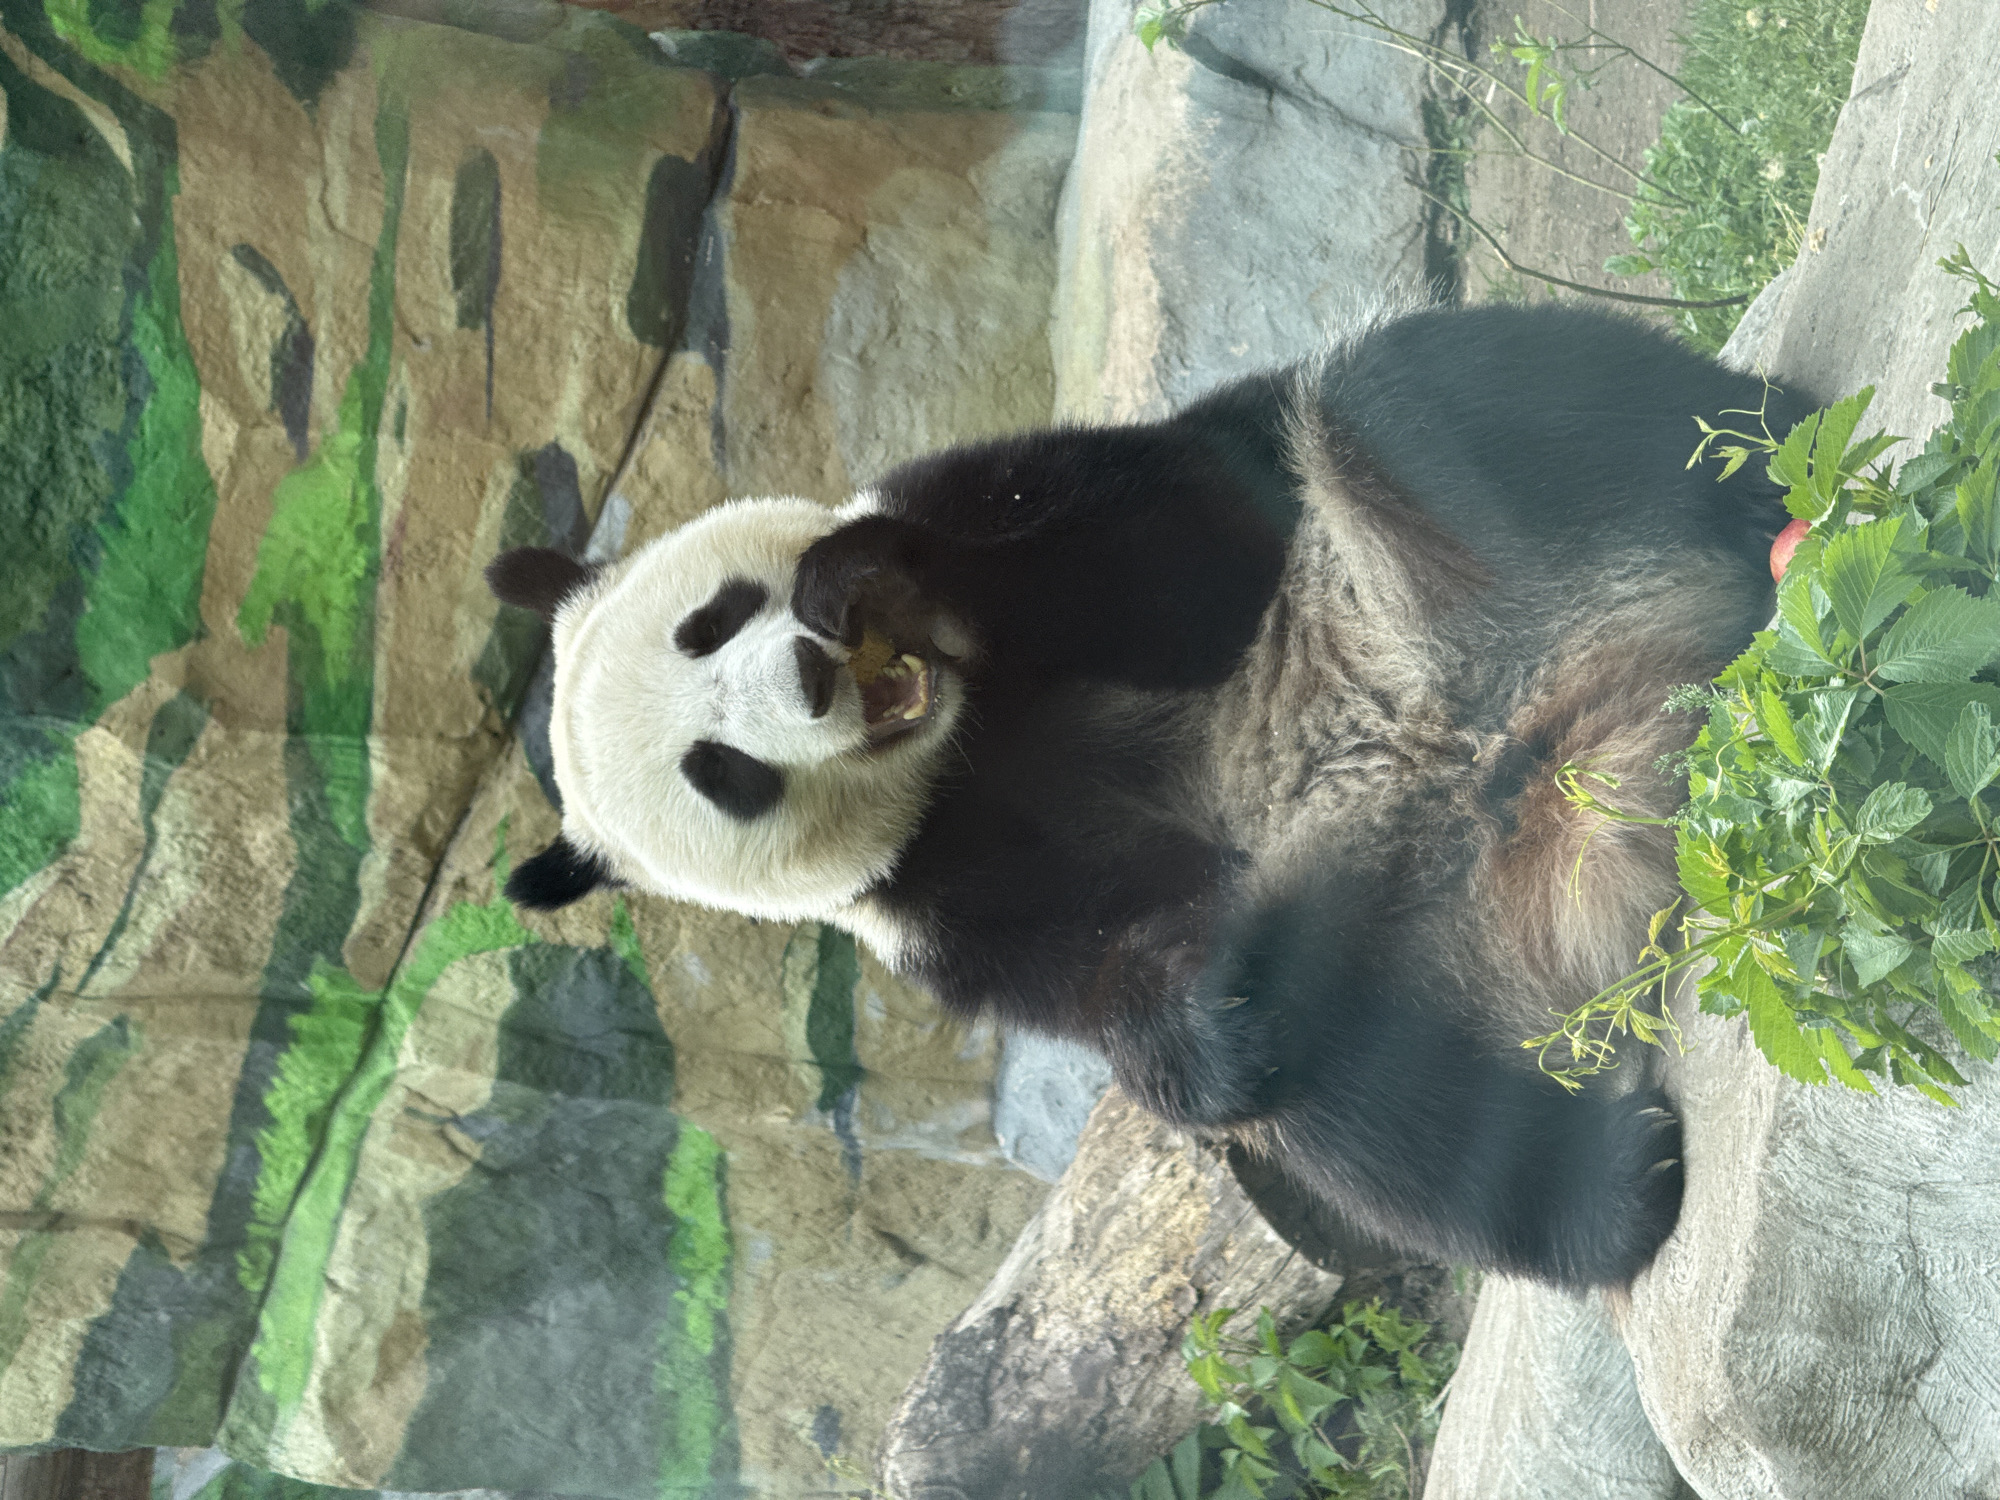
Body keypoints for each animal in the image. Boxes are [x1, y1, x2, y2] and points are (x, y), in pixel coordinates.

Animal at [486, 302, 1811, 1290]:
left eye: (709, 620)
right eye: (722, 773)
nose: (816, 672)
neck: (965, 742)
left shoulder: (1027, 499)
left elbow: (1157, 552)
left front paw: (867, 580)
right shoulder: (936, 893)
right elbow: (1109, 981)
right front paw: (1216, 1005)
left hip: (1411, 538)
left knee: (1418, 399)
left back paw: (1750, 480)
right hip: (1431, 957)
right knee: (1374, 1121)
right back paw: (1603, 1186)